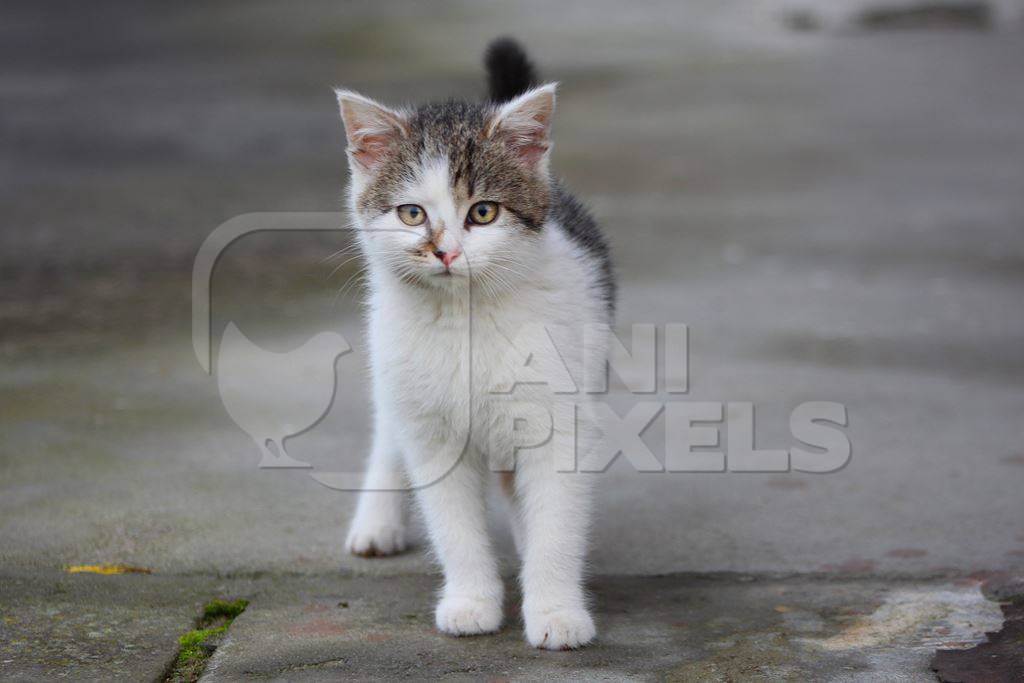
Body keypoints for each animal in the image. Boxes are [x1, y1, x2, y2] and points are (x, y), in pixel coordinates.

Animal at [339, 38, 614, 651]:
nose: (444, 252)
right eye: (411, 213)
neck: (465, 321)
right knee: (388, 431)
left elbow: (555, 519)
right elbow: (454, 525)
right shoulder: (431, 430)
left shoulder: (560, 419)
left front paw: (556, 610)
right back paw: (377, 522)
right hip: (395, 365)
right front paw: (471, 601)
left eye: (483, 212)